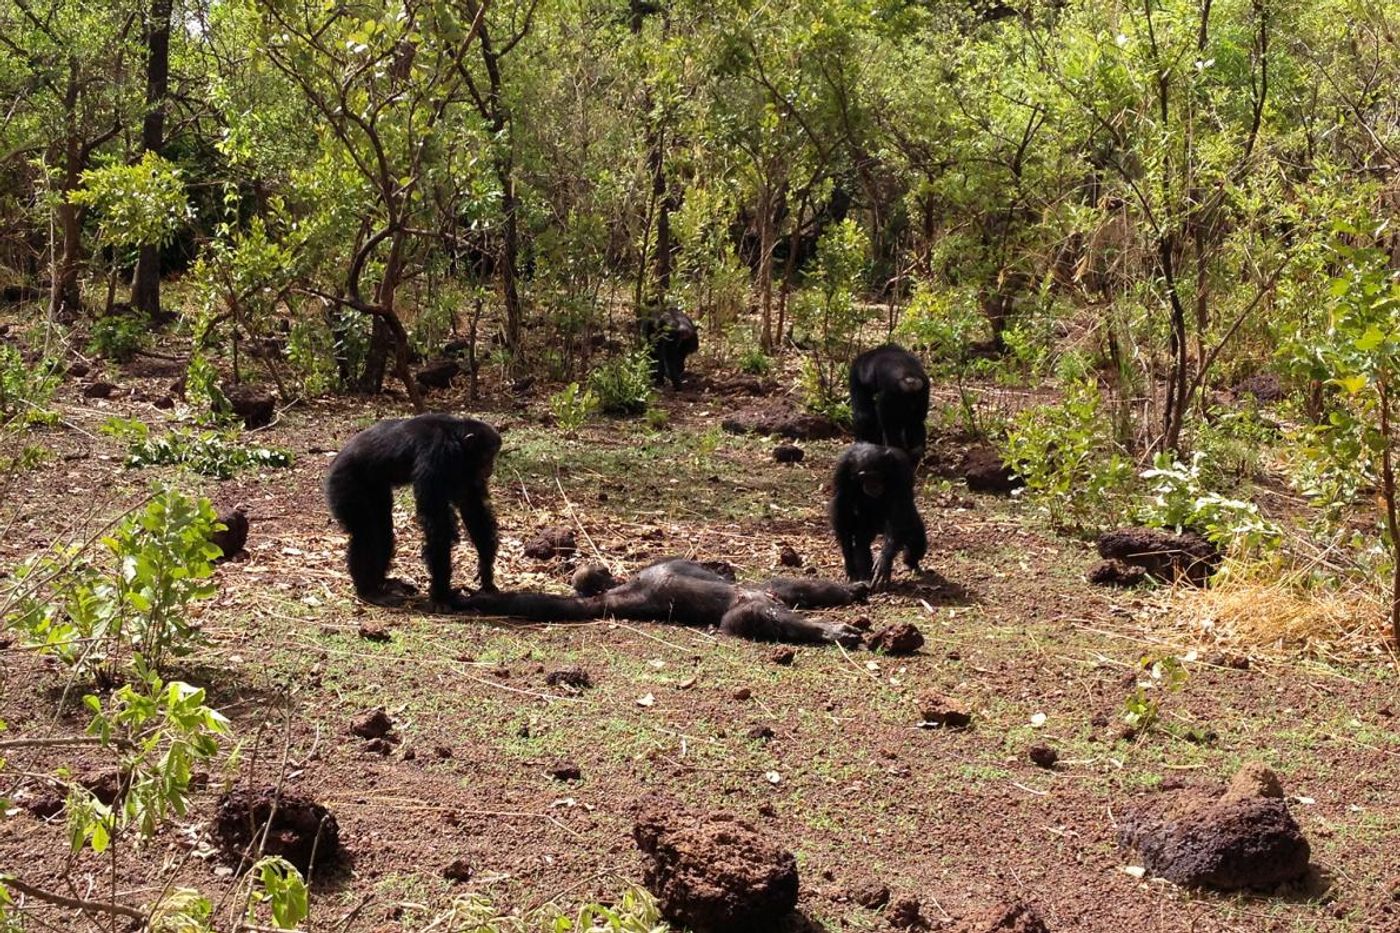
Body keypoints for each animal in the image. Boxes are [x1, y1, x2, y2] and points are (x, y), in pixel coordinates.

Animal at [324, 414, 501, 610]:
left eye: (493, 455)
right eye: (487, 456)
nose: (490, 467)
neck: (456, 439)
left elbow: (472, 507)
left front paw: (486, 573)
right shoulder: (437, 456)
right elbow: (437, 522)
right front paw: (441, 595)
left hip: (377, 490)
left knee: (382, 530)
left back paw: (385, 583)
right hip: (345, 484)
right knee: (366, 534)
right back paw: (369, 591)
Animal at [828, 439, 929, 585]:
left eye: (876, 476)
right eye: (865, 477)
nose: (873, 485)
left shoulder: (901, 468)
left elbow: (900, 506)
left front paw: (884, 560)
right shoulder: (841, 469)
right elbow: (842, 507)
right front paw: (849, 564)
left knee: (916, 538)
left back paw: (912, 563)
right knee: (861, 541)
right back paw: (865, 574)